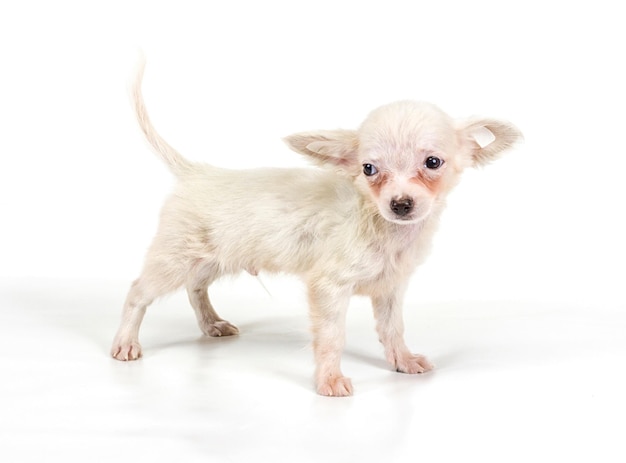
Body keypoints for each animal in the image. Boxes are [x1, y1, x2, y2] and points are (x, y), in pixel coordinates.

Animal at [111, 59, 520, 396]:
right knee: (137, 292)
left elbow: (393, 330)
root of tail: (197, 172)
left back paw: (211, 324)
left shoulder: (390, 289)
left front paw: (402, 362)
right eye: (369, 169)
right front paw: (329, 380)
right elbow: (331, 337)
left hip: (212, 258)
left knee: (195, 287)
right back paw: (126, 342)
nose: (400, 204)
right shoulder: (328, 287)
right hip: (174, 259)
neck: (384, 229)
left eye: (433, 162)